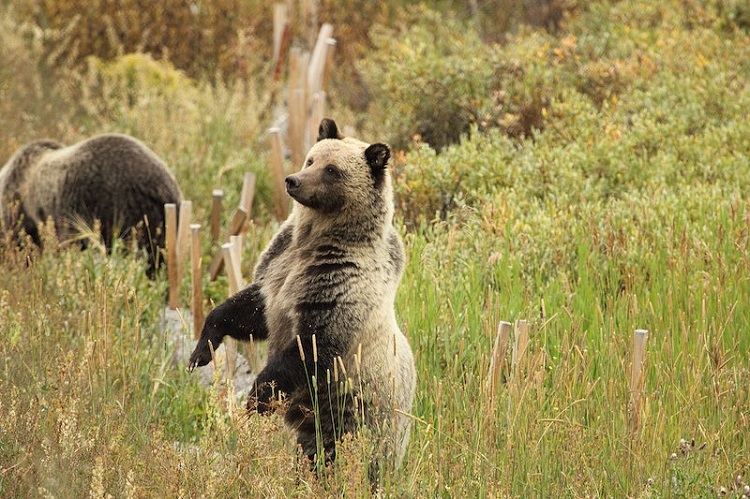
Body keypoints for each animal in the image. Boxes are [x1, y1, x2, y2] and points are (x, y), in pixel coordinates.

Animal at [189, 117, 418, 476]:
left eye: (332, 170)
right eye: (311, 159)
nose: (292, 180)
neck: (316, 240)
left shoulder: (338, 287)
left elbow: (308, 347)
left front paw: (256, 398)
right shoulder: (280, 268)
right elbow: (248, 309)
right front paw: (201, 350)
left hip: (361, 415)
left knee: (359, 459)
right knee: (311, 451)